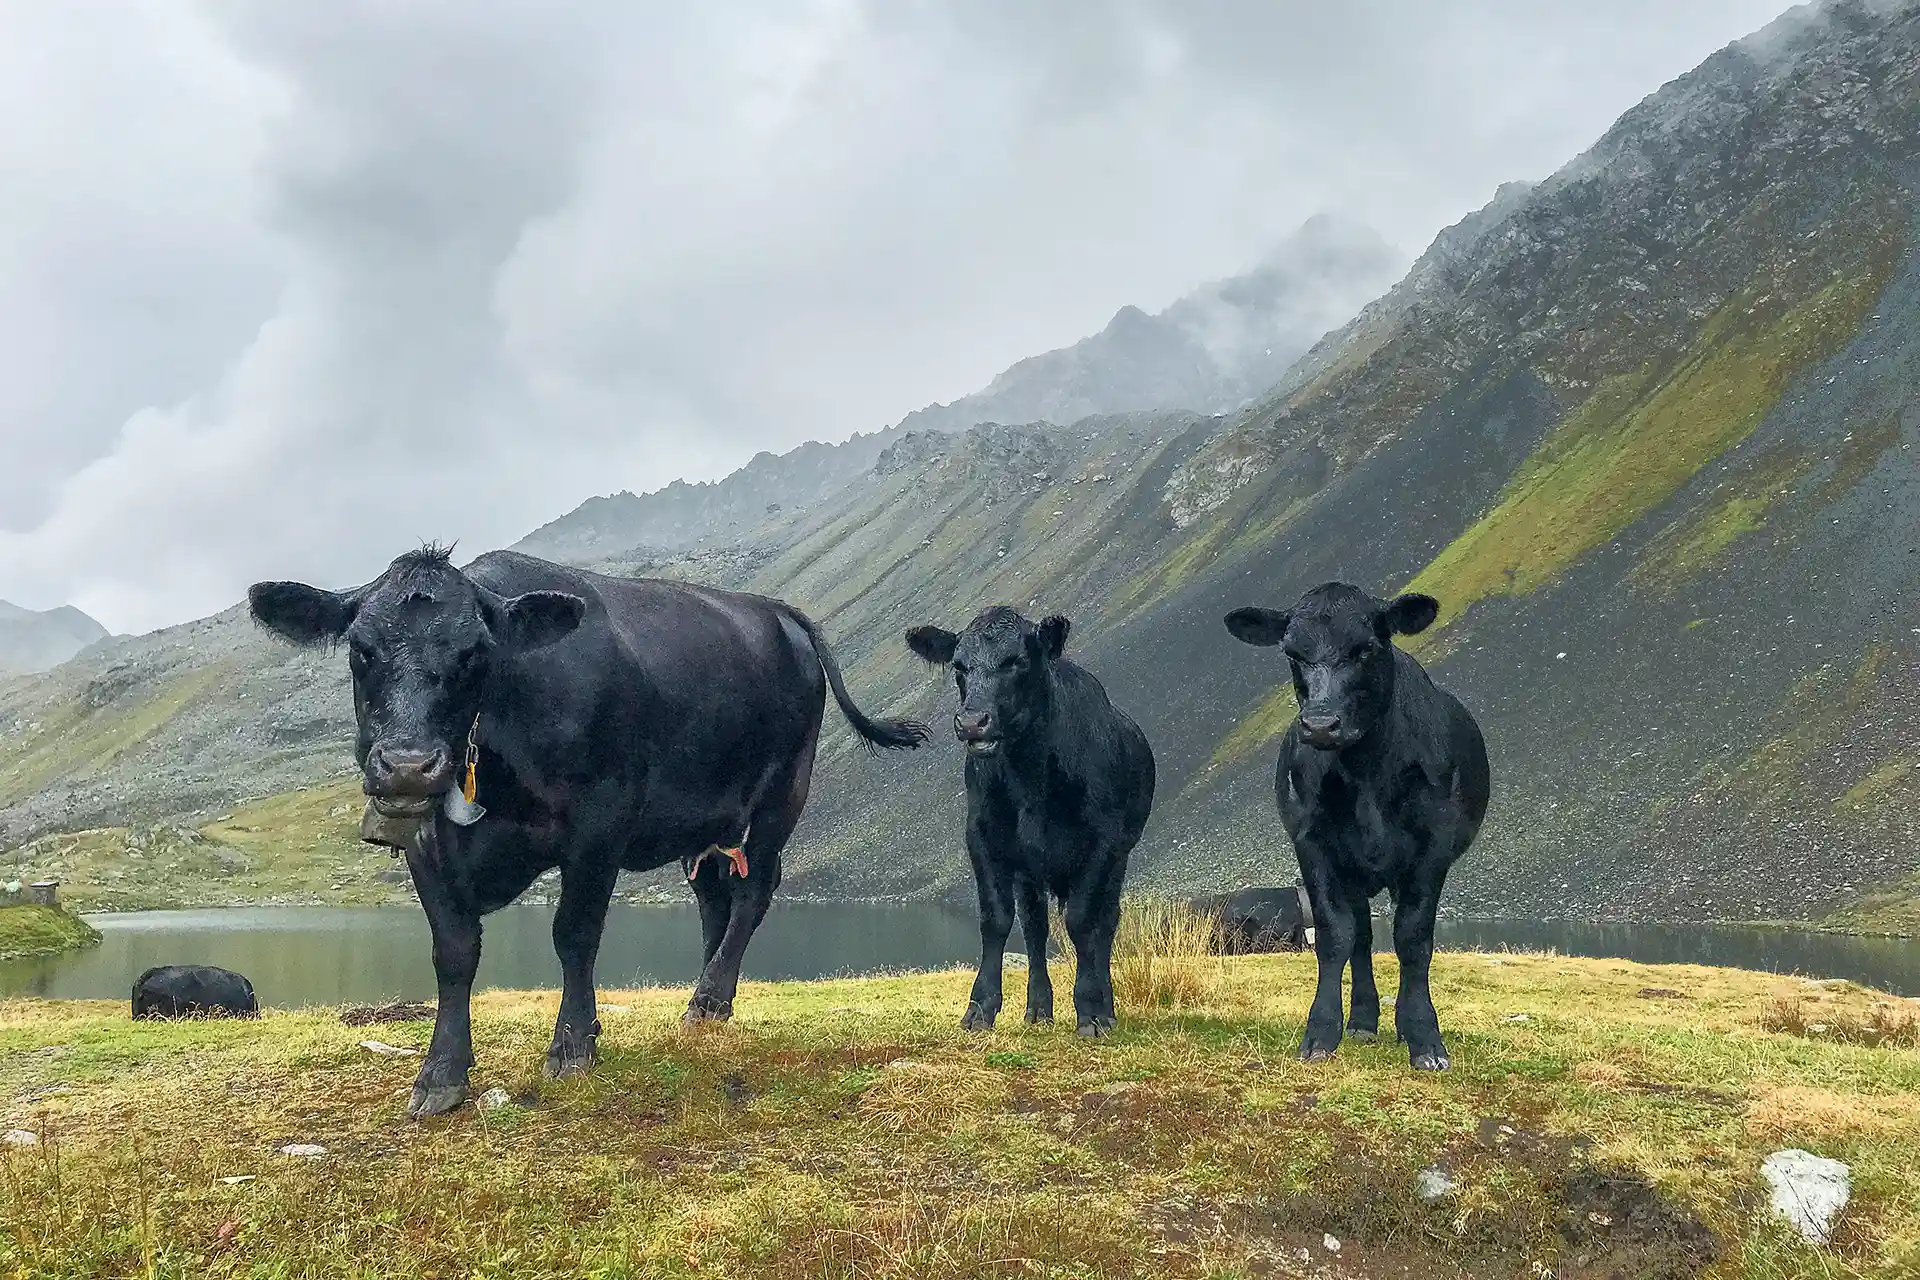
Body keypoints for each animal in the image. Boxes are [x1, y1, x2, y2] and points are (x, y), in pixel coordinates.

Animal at [249, 545, 929, 1113]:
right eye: (360, 649)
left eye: (474, 655)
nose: (409, 765)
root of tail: (777, 610)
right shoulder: (426, 839)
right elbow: (454, 951)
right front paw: (442, 1073)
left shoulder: (600, 823)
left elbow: (574, 933)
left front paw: (574, 1045)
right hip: (706, 822)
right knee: (716, 898)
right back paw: (715, 1000)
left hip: (780, 795)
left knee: (754, 894)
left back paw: (707, 997)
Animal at [902, 606, 1152, 1036]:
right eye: (958, 666)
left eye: (1016, 661)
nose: (972, 722)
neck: (1030, 776)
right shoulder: (982, 836)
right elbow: (996, 919)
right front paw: (980, 1007)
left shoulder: (1102, 842)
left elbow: (1083, 922)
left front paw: (1091, 1009)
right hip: (1029, 871)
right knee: (1035, 928)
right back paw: (1038, 1008)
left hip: (1120, 857)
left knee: (1106, 923)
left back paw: (1106, 1008)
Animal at [1221, 583, 1489, 1074]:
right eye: (1292, 653)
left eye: (1365, 648)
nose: (1320, 725)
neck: (1367, 774)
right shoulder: (1313, 845)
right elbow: (1335, 936)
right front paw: (1322, 1032)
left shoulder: (1432, 849)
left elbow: (1413, 939)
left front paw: (1424, 1038)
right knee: (1361, 937)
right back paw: (1363, 1021)